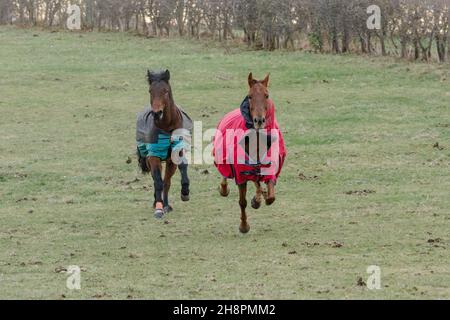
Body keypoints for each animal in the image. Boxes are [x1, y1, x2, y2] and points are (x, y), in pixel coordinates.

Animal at [138, 70, 192, 219]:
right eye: (150, 91)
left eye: (166, 91)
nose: (157, 113)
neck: (167, 126)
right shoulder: (153, 156)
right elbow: (158, 181)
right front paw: (158, 208)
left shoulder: (176, 152)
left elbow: (181, 168)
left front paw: (185, 192)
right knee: (158, 180)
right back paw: (158, 203)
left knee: (167, 181)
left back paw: (167, 205)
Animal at [213, 72, 286, 232]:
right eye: (250, 96)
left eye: (266, 95)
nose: (259, 121)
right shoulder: (241, 173)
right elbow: (242, 201)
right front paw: (244, 226)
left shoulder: (269, 167)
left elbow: (271, 196)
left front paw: (260, 198)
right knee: (226, 173)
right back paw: (224, 188)